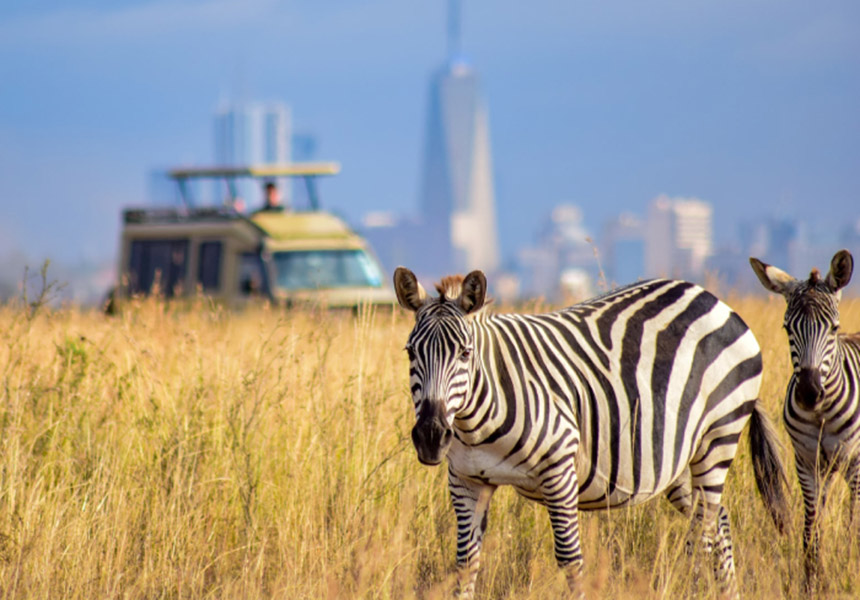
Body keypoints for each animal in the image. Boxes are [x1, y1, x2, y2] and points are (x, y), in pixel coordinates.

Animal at [394, 270, 788, 596]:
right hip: (676, 458)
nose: (430, 437)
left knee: (702, 535)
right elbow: (465, 565)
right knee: (718, 521)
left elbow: (570, 561)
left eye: (464, 353)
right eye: (410, 353)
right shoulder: (466, 480)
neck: (475, 422)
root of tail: (712, 299)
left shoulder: (559, 471)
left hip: (717, 437)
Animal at [748, 250, 856, 592]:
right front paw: (812, 579)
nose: (808, 392)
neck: (821, 413)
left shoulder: (855, 462)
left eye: (833, 328)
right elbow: (811, 524)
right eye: (786, 329)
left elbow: (853, 522)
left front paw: (848, 570)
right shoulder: (806, 460)